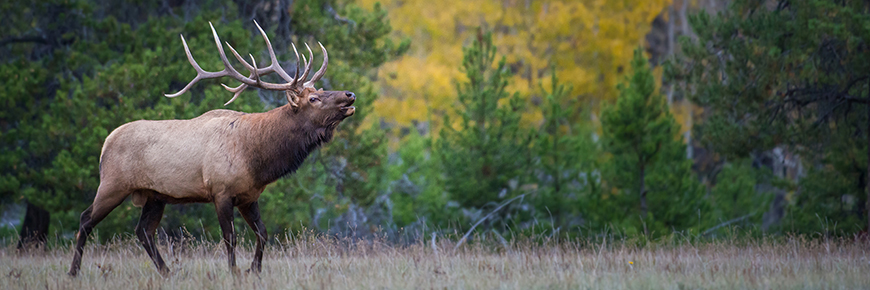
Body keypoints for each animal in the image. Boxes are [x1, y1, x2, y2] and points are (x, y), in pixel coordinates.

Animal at [66, 21, 356, 276]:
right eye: (314, 98)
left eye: (321, 90)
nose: (350, 95)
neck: (257, 158)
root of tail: (106, 142)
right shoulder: (221, 190)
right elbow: (230, 237)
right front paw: (234, 272)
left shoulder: (249, 195)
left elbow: (262, 233)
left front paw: (254, 270)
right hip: (113, 184)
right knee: (85, 220)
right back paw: (74, 271)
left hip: (155, 195)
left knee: (143, 231)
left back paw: (166, 272)